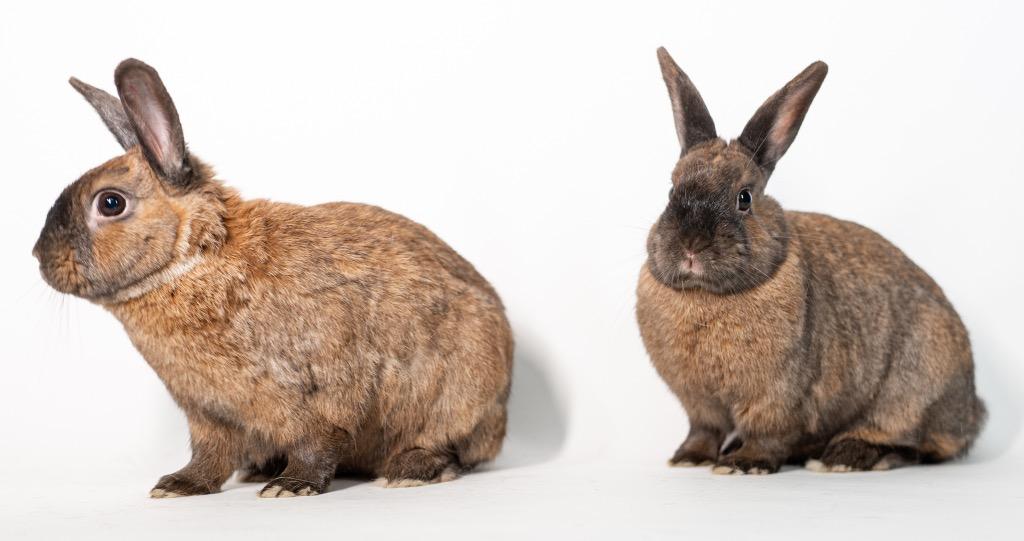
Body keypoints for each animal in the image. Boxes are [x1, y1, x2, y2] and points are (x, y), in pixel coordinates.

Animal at [33, 59, 513, 497]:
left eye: (110, 203)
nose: (39, 258)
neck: (196, 260)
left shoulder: (321, 392)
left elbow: (317, 441)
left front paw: (291, 487)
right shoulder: (210, 412)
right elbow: (209, 456)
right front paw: (178, 486)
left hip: (458, 396)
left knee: (446, 445)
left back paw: (406, 471)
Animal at [636, 48, 985, 474]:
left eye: (744, 198)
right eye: (671, 191)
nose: (691, 245)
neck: (708, 297)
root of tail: (972, 413)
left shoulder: (779, 396)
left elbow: (769, 433)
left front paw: (746, 463)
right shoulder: (700, 404)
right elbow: (704, 429)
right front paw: (689, 458)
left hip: (914, 390)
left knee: (908, 441)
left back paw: (843, 457)